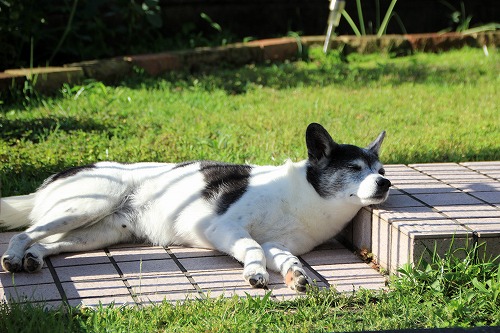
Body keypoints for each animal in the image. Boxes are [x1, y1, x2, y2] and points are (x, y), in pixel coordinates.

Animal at [0, 122, 390, 290]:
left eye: (381, 170)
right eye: (354, 169)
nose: (385, 184)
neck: (305, 196)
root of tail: (57, 176)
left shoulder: (276, 244)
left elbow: (285, 257)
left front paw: (295, 275)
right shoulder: (223, 227)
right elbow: (252, 248)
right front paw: (255, 273)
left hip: (97, 233)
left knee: (48, 244)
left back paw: (34, 258)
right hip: (86, 206)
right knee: (24, 233)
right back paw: (14, 257)